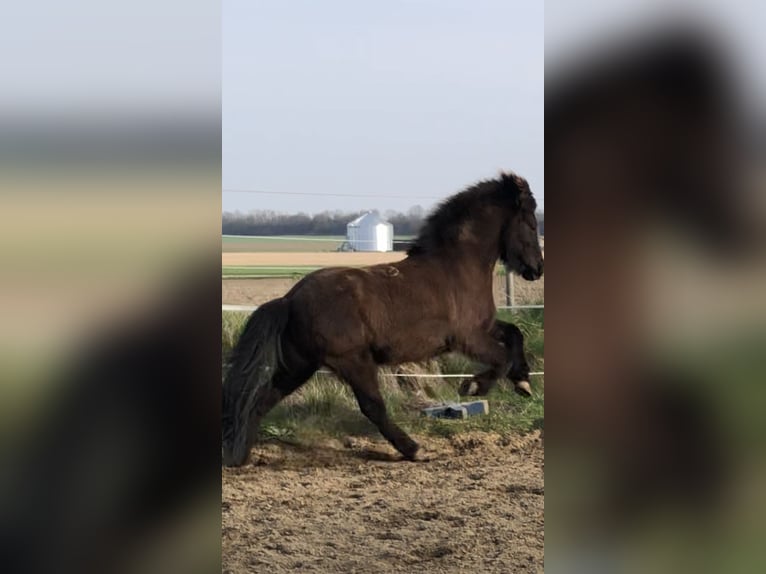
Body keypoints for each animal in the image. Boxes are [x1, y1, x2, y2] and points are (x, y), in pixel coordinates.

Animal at [222, 171, 544, 468]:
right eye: (530, 222)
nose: (537, 269)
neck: (457, 267)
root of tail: (289, 299)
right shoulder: (466, 337)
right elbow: (501, 358)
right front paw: (473, 387)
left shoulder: (484, 327)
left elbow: (515, 334)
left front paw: (523, 383)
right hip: (353, 362)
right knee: (372, 407)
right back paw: (415, 449)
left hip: (299, 366)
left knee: (262, 400)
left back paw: (240, 458)